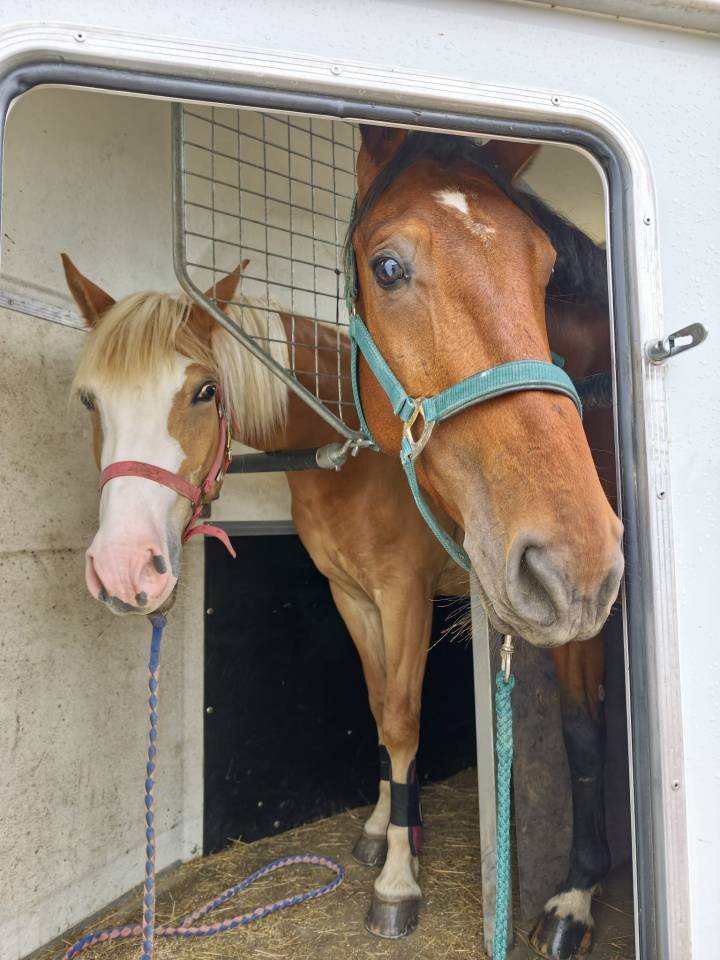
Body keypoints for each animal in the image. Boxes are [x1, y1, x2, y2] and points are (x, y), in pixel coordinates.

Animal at [64, 132, 622, 960]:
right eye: (88, 401)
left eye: (203, 391)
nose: (124, 565)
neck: (349, 451)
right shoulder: (354, 598)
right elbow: (380, 706)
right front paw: (389, 827)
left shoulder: (410, 596)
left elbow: (427, 720)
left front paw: (405, 882)